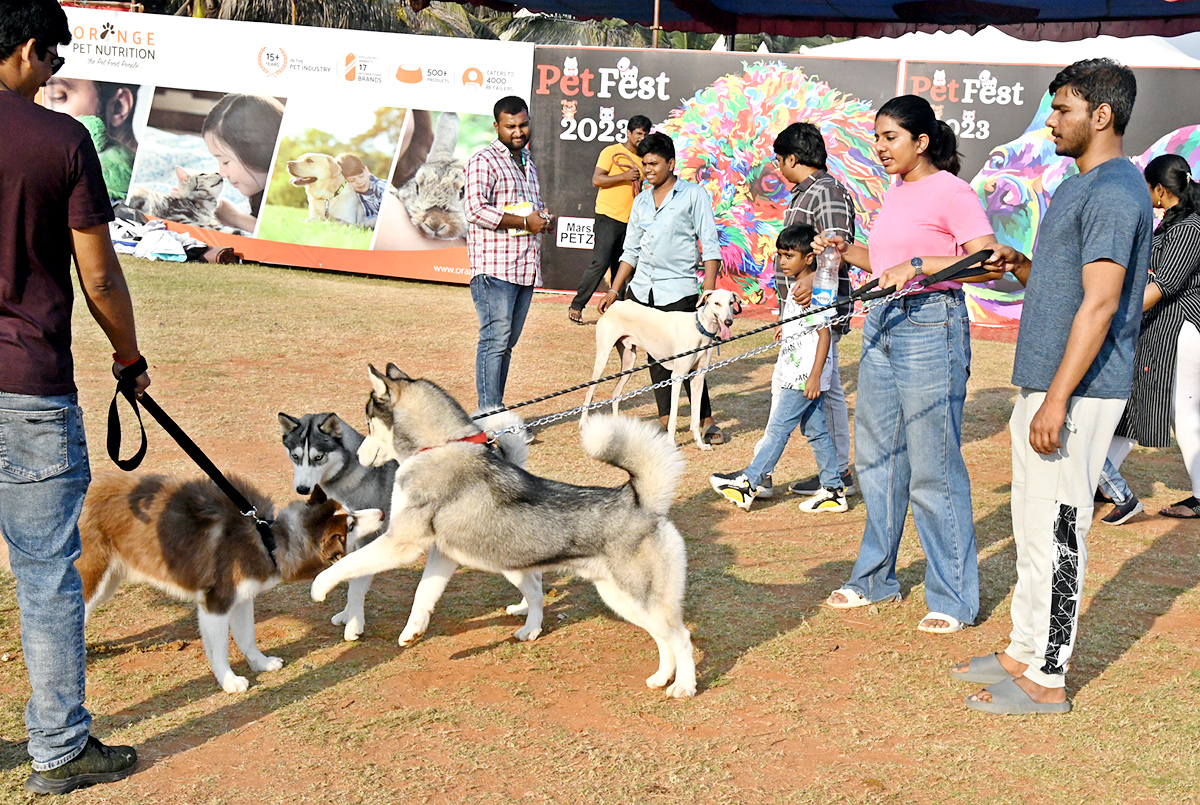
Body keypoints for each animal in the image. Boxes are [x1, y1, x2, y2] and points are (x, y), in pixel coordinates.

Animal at [75, 479, 379, 691]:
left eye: (350, 512)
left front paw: (261, 663)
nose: (380, 513)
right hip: (92, 578)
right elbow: (220, 648)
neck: (269, 540)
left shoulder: (242, 599)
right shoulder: (216, 605)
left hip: (108, 581)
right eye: (351, 525)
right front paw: (229, 681)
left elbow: (247, 637)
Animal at [580, 290, 739, 453]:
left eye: (731, 302)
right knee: (589, 393)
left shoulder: (698, 377)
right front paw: (671, 444)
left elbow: (695, 418)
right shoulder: (677, 376)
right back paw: (583, 423)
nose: (728, 322)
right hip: (603, 358)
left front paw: (700, 444)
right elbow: (673, 418)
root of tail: (616, 304)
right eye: (716, 303)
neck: (698, 328)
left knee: (615, 393)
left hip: (629, 362)